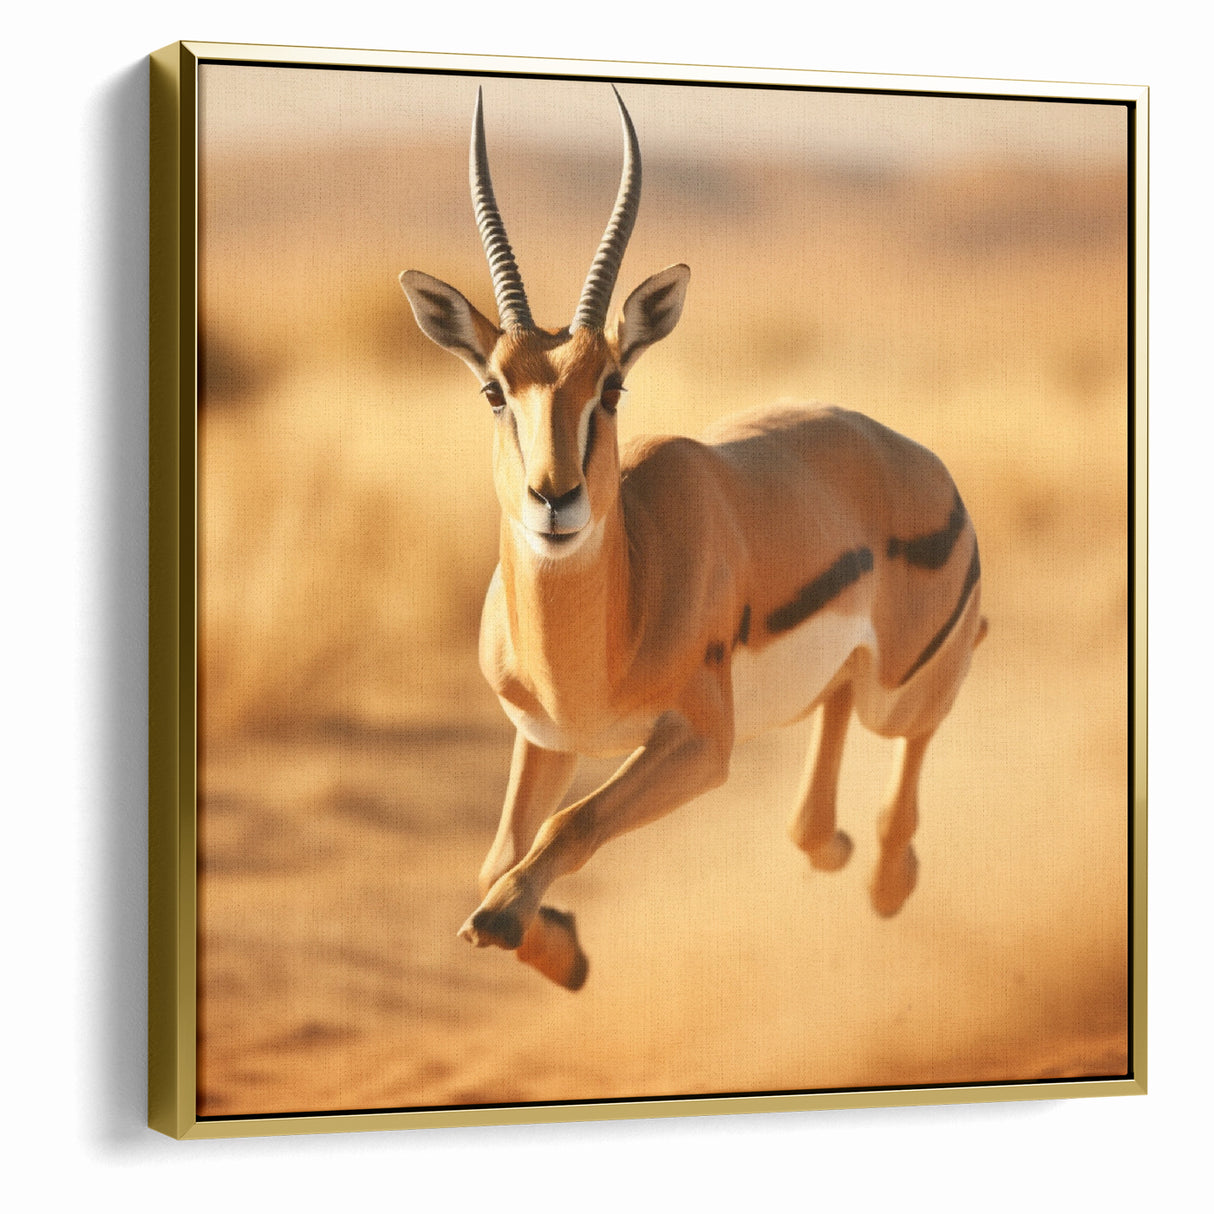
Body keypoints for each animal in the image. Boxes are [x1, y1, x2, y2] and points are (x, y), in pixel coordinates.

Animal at [400, 87, 986, 991]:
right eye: (495, 389)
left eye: (611, 385)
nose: (555, 499)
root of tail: (917, 458)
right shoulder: (546, 740)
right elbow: (498, 854)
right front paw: (563, 950)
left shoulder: (702, 744)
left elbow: (567, 828)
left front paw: (512, 922)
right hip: (848, 684)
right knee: (828, 744)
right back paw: (836, 848)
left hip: (900, 691)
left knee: (925, 705)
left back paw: (888, 879)